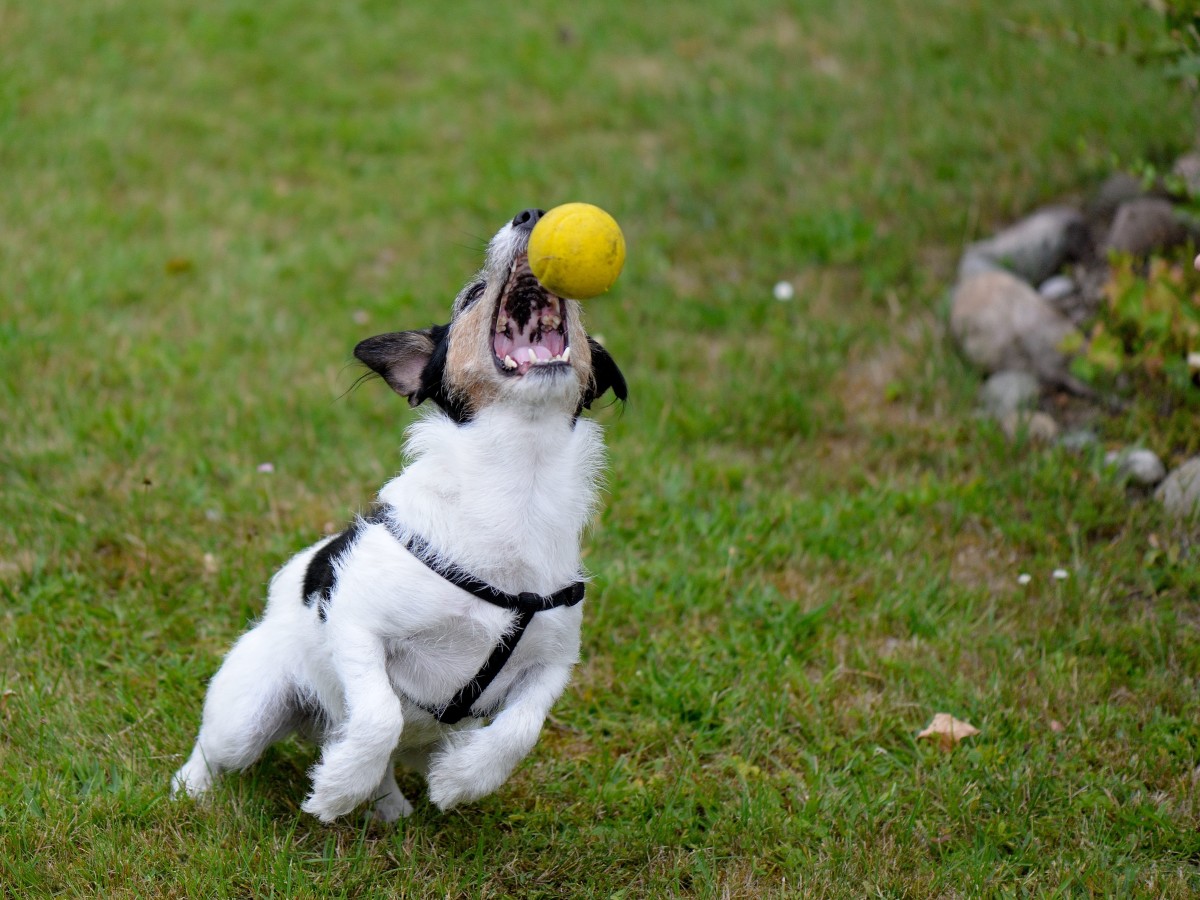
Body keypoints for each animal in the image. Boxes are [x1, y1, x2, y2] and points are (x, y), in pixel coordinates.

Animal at [175, 207, 633, 820]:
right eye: (472, 296)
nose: (533, 214)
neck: (520, 481)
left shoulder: (553, 664)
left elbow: (520, 729)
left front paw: (463, 780)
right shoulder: (356, 624)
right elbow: (378, 714)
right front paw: (337, 787)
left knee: (394, 754)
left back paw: (389, 803)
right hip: (246, 713)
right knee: (218, 746)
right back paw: (195, 788)